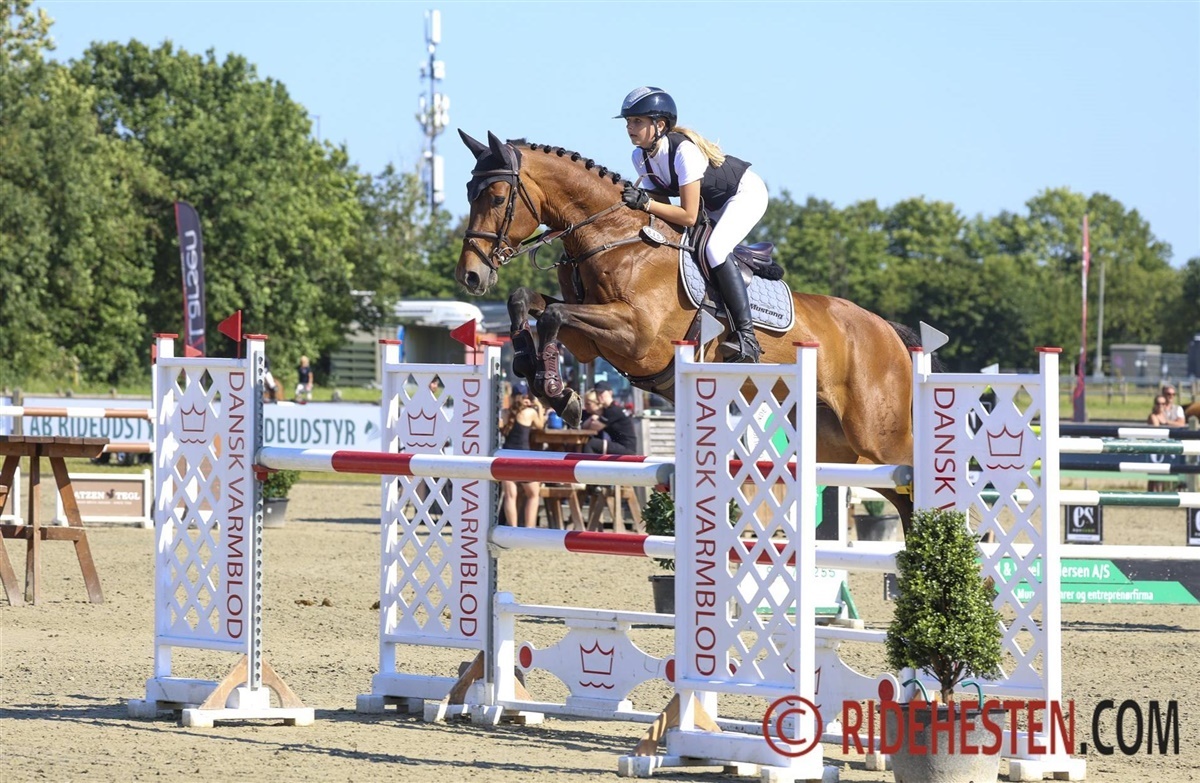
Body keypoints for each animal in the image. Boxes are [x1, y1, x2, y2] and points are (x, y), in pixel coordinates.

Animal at [454, 130, 921, 529]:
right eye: (469, 193)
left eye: (497, 197)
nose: (471, 276)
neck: (615, 238)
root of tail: (886, 329)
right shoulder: (588, 342)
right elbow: (526, 301)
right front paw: (532, 369)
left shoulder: (636, 336)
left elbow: (552, 316)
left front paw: (555, 390)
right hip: (840, 444)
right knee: (897, 492)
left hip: (877, 433)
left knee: (912, 472)